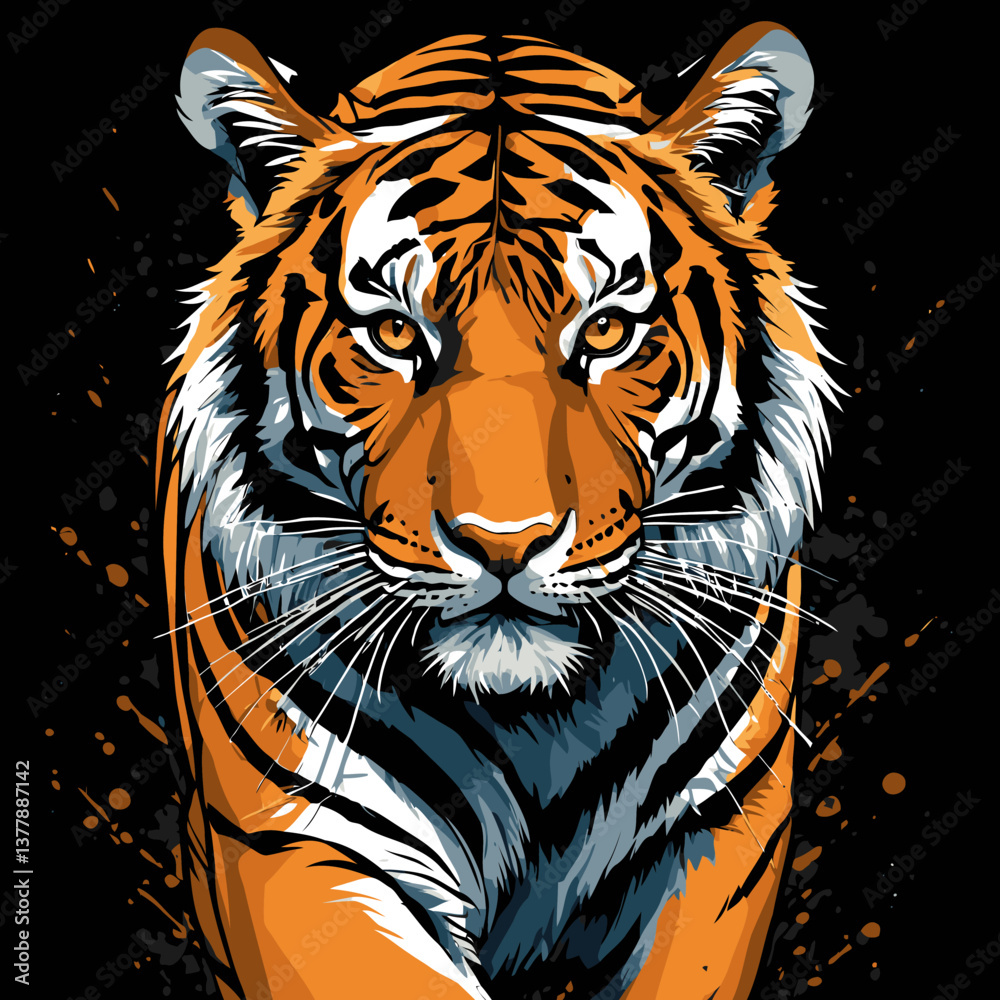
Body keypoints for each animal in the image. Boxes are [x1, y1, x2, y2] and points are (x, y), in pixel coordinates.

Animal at [158, 22, 837, 1000]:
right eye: (395, 334)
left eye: (605, 331)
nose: (504, 546)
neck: (533, 726)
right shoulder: (302, 844)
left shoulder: (711, 840)